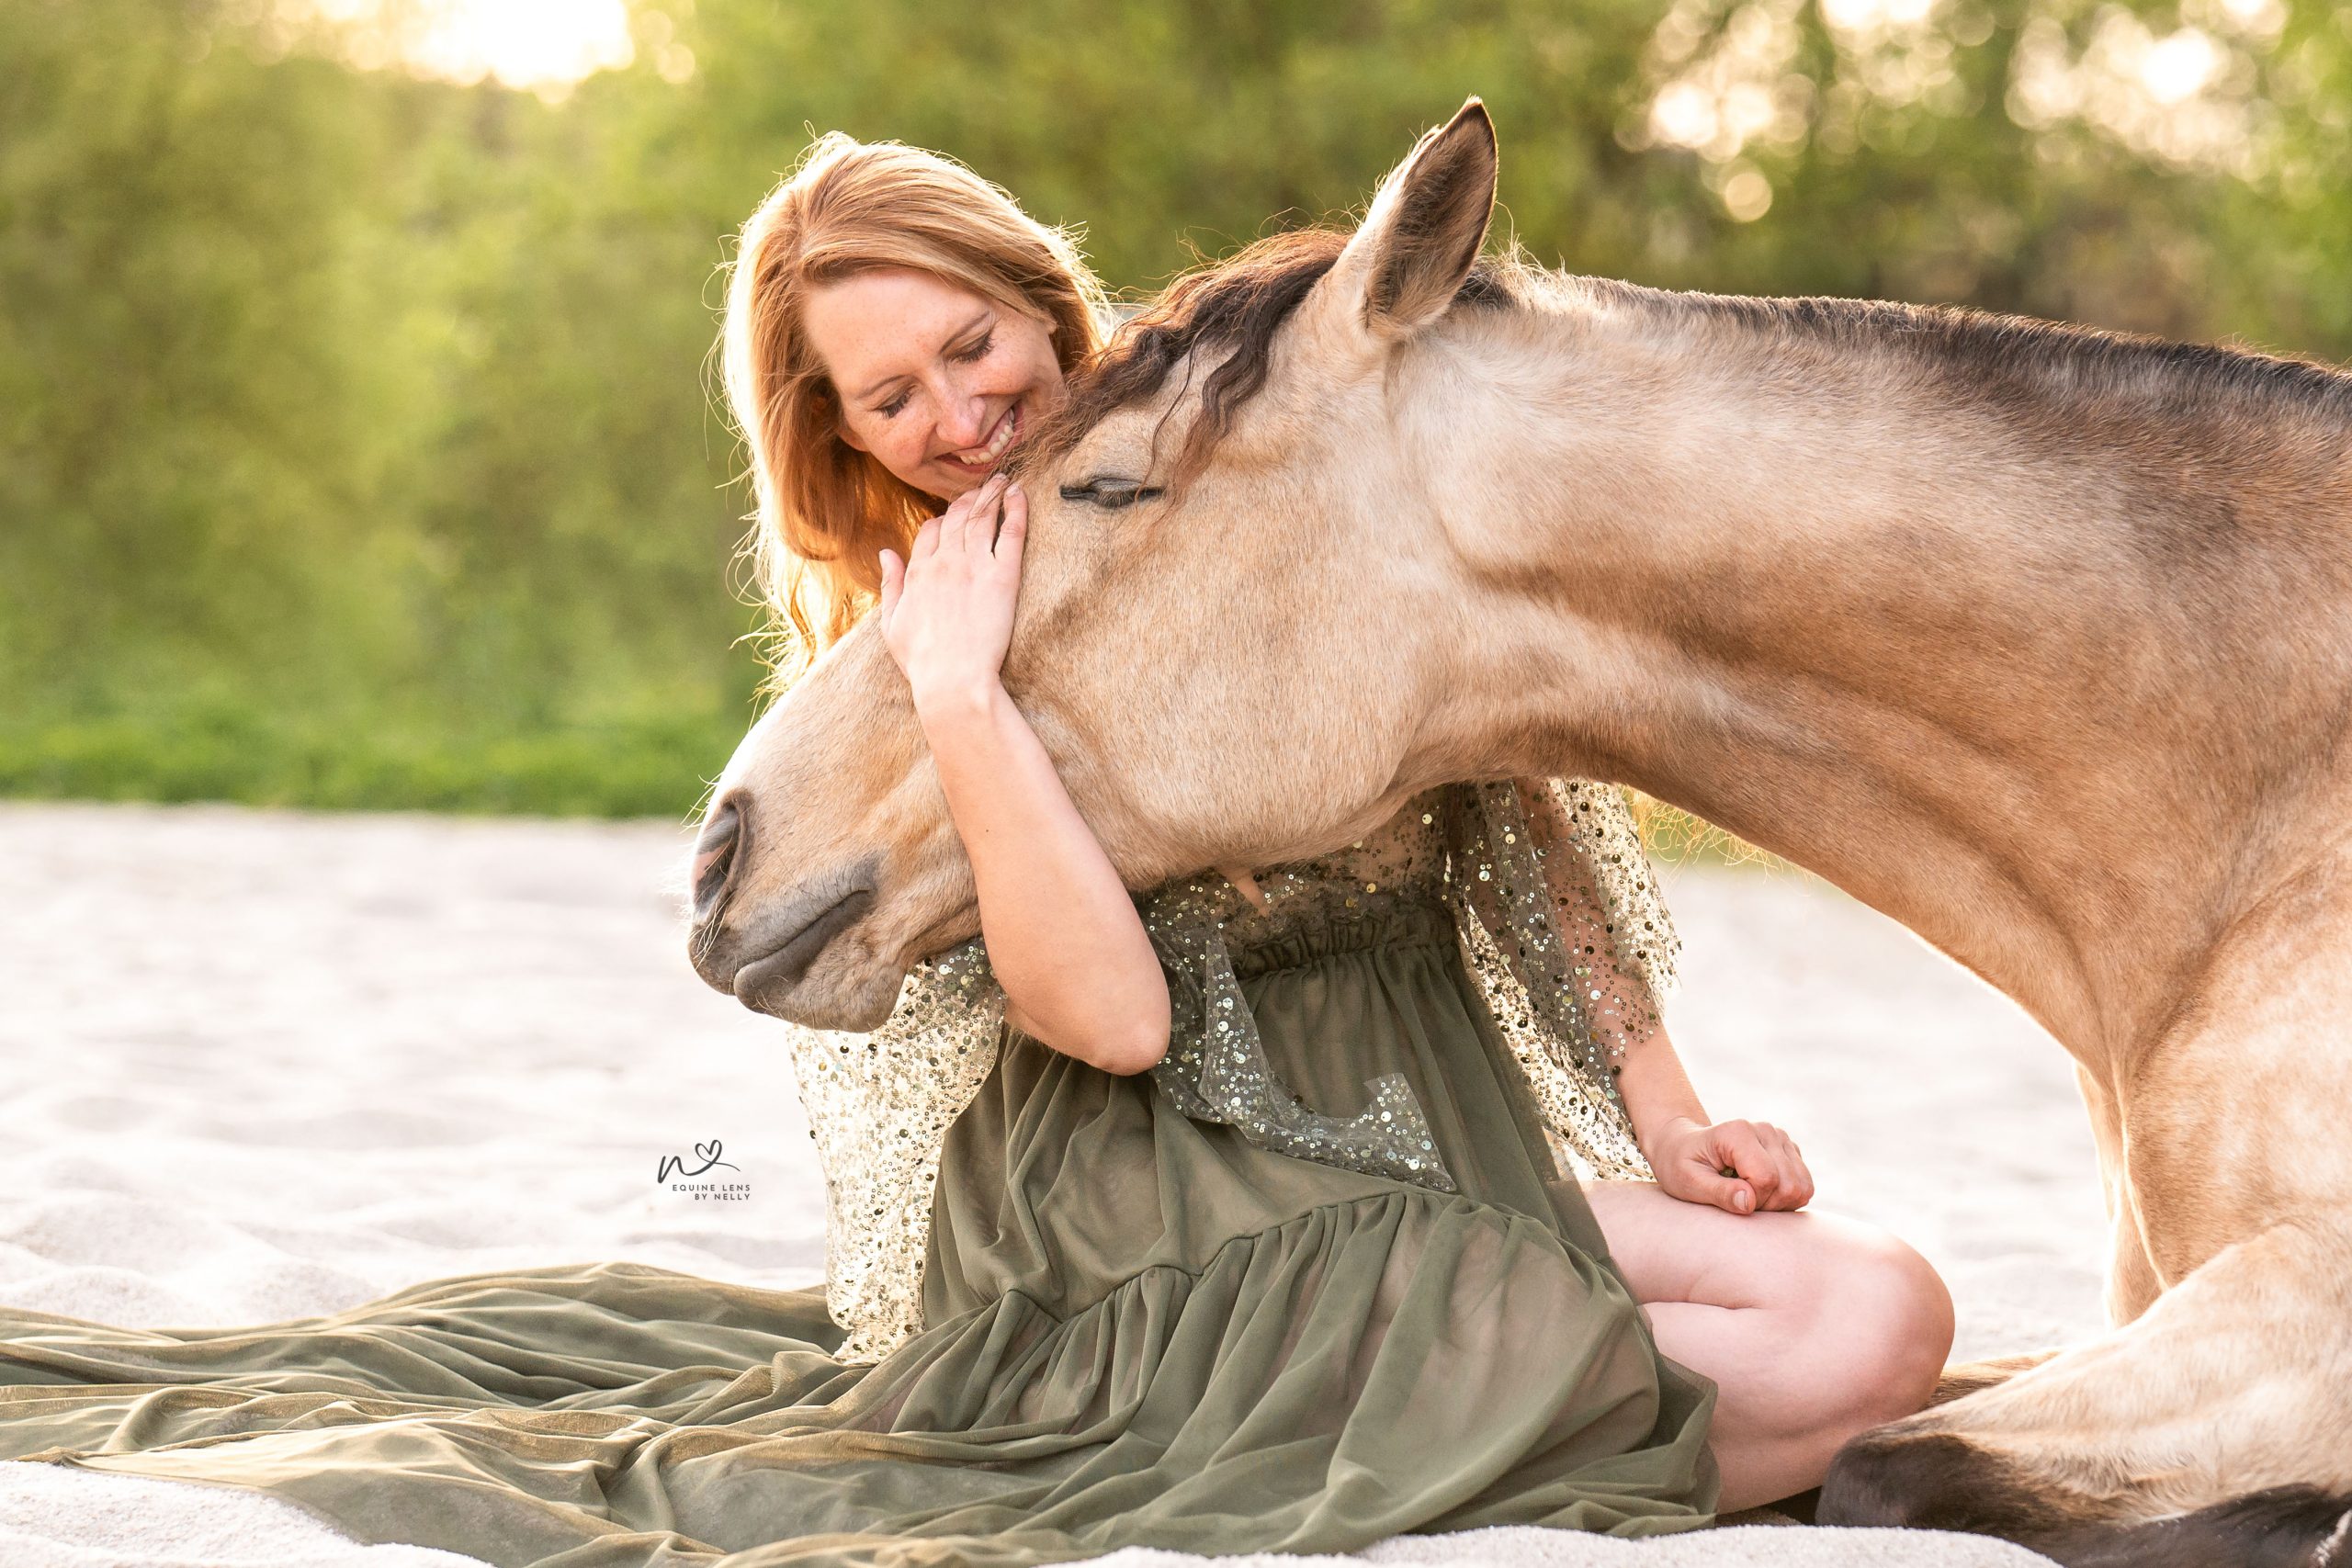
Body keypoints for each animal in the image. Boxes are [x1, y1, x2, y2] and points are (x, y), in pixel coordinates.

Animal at [687, 100, 2352, 1566]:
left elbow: (1893, 1461)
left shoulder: (2293, 1309)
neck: (2259, 830)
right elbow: (1890, 1446)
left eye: (1105, 481)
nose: (721, 847)